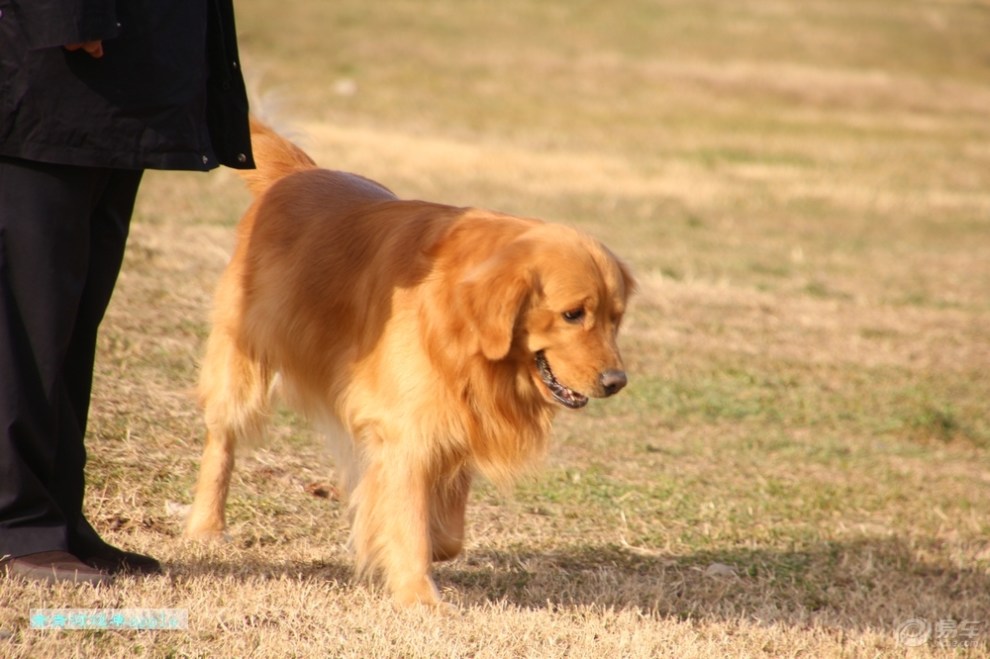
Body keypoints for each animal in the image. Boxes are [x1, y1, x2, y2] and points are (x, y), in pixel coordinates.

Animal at [186, 120, 636, 608]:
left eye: (616, 318)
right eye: (573, 314)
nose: (617, 381)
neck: (459, 328)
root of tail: (297, 175)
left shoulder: (456, 418)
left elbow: (445, 528)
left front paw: (420, 545)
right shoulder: (406, 430)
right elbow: (408, 518)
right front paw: (419, 595)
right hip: (242, 363)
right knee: (222, 439)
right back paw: (206, 525)